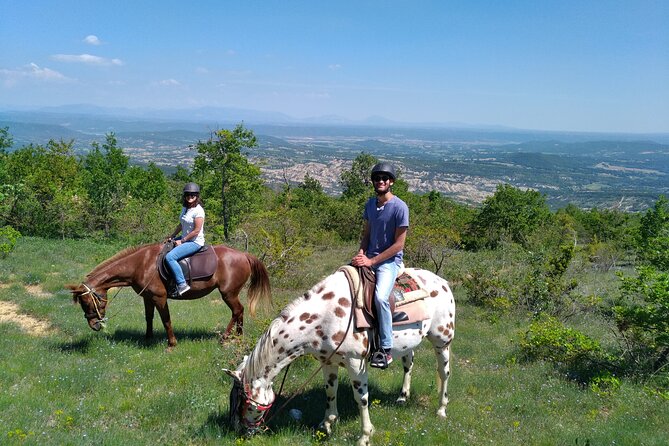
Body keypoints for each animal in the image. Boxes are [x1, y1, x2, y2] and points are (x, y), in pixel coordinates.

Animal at [64, 240, 268, 348]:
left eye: (86, 303)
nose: (94, 325)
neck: (140, 265)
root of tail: (244, 255)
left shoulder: (159, 298)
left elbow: (166, 320)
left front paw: (172, 343)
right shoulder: (147, 297)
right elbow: (149, 317)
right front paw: (147, 338)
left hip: (228, 293)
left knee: (236, 311)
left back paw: (225, 337)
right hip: (231, 294)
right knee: (240, 311)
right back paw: (238, 336)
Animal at [224, 266, 454, 444]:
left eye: (247, 404)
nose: (240, 432)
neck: (326, 316)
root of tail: (442, 282)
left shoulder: (355, 363)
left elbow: (361, 398)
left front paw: (365, 436)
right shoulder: (328, 361)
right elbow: (330, 391)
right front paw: (326, 424)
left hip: (442, 341)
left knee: (444, 373)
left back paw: (442, 410)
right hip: (409, 343)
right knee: (408, 363)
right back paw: (402, 397)